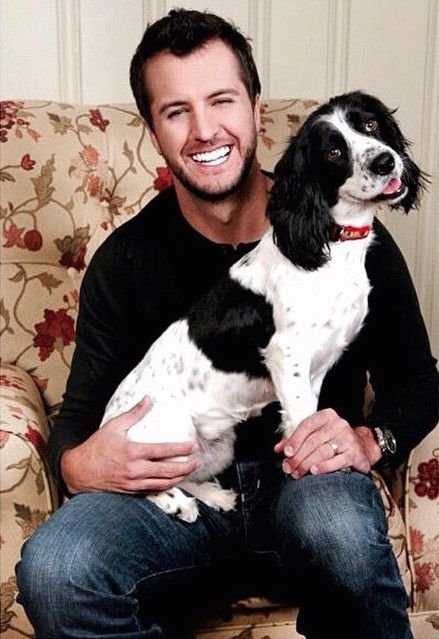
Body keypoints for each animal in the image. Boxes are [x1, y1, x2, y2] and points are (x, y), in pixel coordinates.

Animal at [101, 91, 424, 520]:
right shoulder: (286, 354)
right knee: (136, 484)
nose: (385, 161)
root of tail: (106, 424)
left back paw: (214, 496)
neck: (331, 244)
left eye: (370, 124)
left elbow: (303, 425)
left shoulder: (314, 370)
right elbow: (302, 419)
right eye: (334, 152)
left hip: (217, 447)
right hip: (166, 437)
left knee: (188, 474)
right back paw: (176, 504)